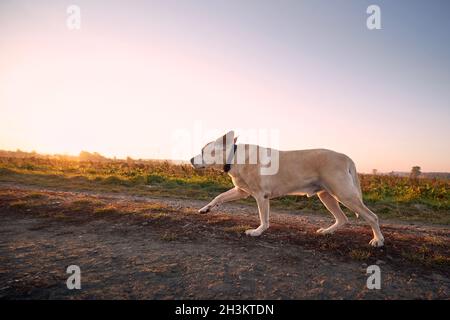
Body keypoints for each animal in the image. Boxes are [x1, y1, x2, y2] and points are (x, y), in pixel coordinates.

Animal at [190, 131, 384, 246]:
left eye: (203, 151)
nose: (191, 159)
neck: (234, 156)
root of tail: (346, 157)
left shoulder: (261, 196)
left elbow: (264, 219)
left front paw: (257, 232)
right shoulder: (241, 191)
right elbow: (219, 197)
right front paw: (205, 209)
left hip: (344, 195)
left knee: (372, 217)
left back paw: (378, 240)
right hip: (327, 196)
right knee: (342, 219)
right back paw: (326, 232)